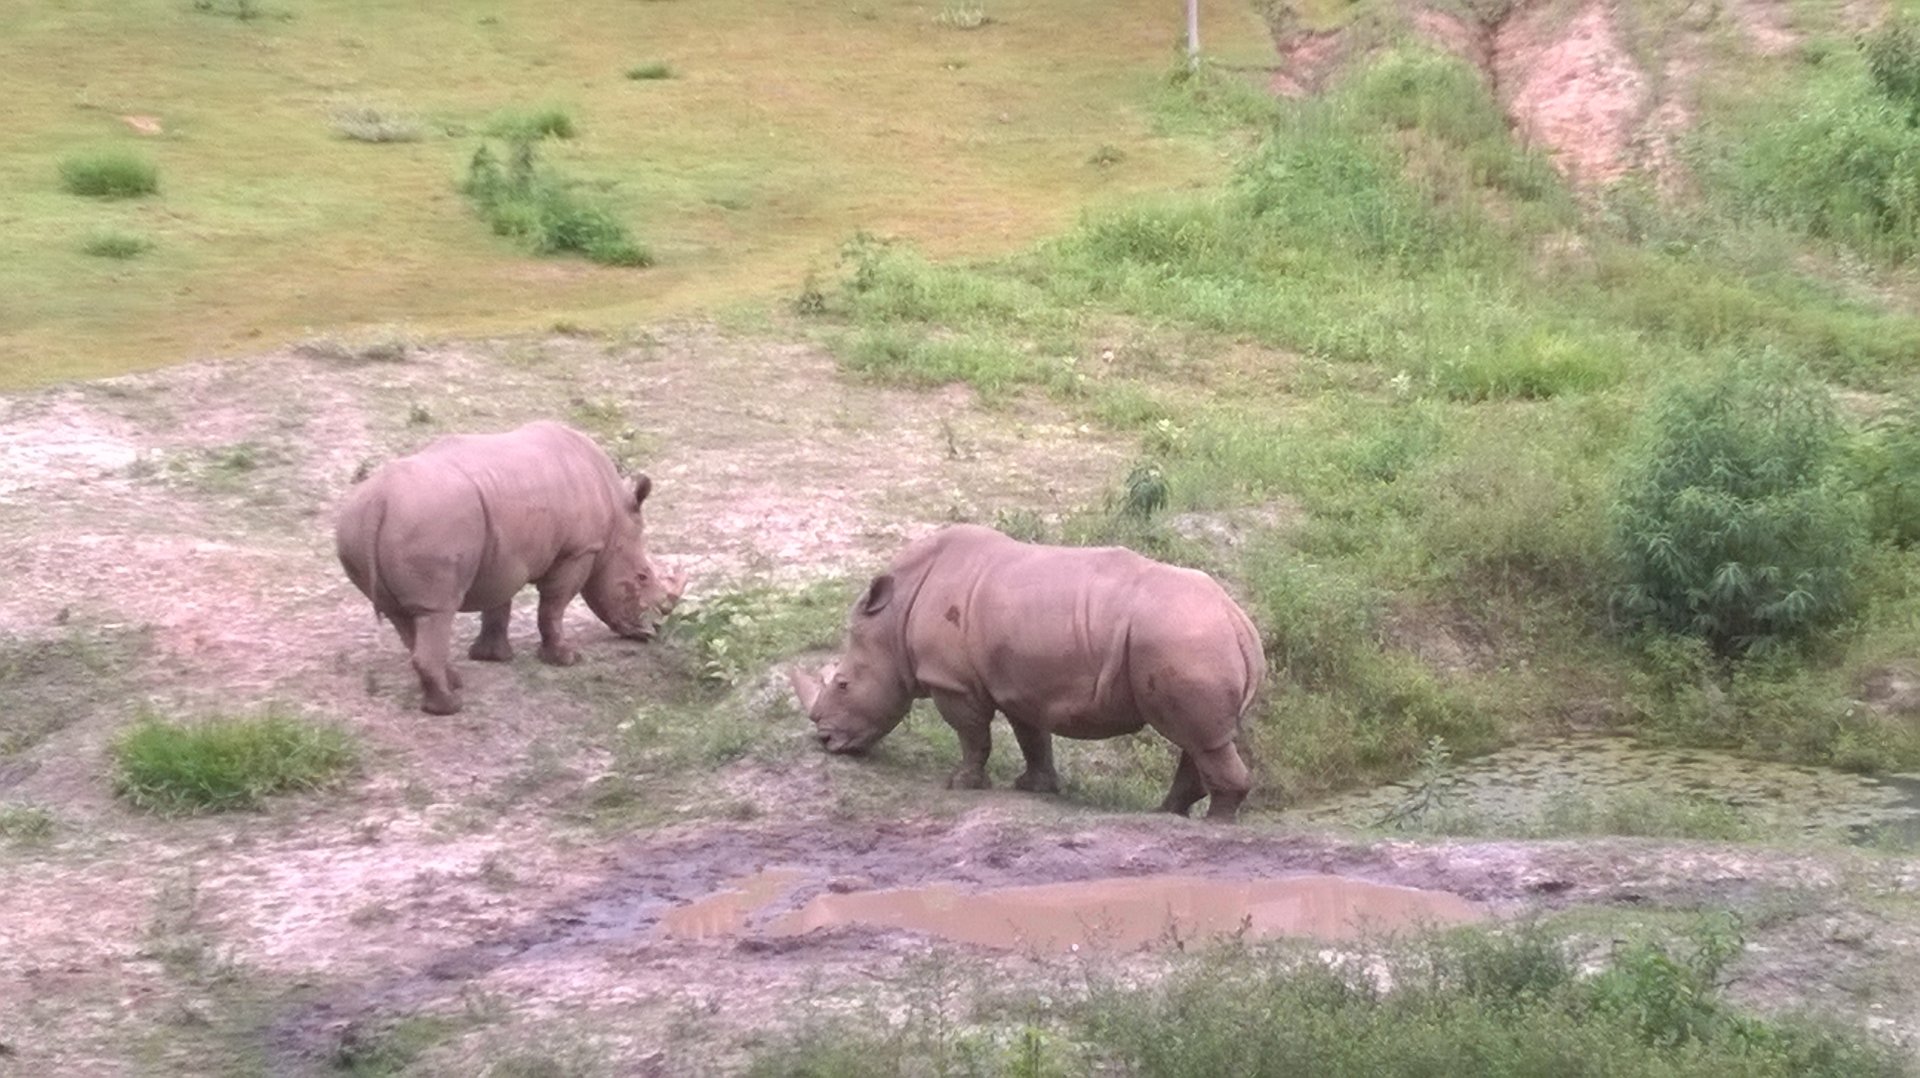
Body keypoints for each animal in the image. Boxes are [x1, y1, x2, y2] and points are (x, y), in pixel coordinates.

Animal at [335, 420, 684, 714]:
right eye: (641, 577)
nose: (652, 632)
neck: (615, 520)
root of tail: (380, 501)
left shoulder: (504, 555)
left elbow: (498, 604)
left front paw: (493, 656)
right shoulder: (579, 551)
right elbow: (552, 607)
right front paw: (566, 659)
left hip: (354, 526)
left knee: (405, 616)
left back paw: (454, 682)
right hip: (429, 521)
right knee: (437, 610)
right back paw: (450, 706)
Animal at [788, 524, 1265, 821]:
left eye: (844, 684)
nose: (825, 741)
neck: (894, 618)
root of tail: (1240, 621)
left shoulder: (952, 681)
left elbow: (972, 735)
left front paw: (961, 784)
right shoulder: (1018, 683)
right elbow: (1031, 736)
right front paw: (1033, 788)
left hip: (1183, 638)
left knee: (1199, 737)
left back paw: (1216, 823)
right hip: (1192, 640)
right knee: (1203, 737)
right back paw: (1167, 814)